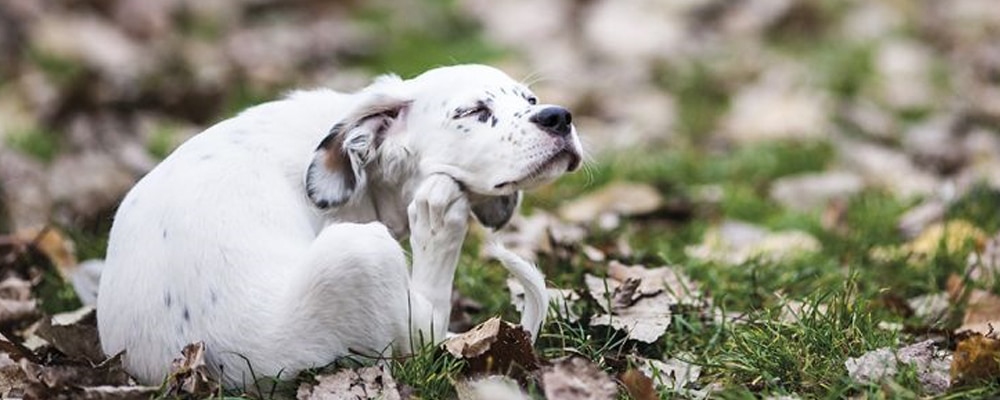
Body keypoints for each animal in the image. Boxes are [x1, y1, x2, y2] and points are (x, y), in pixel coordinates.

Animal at [97, 65, 584, 388]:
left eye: (530, 101)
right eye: (473, 111)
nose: (559, 116)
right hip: (360, 253)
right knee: (427, 323)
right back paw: (438, 216)